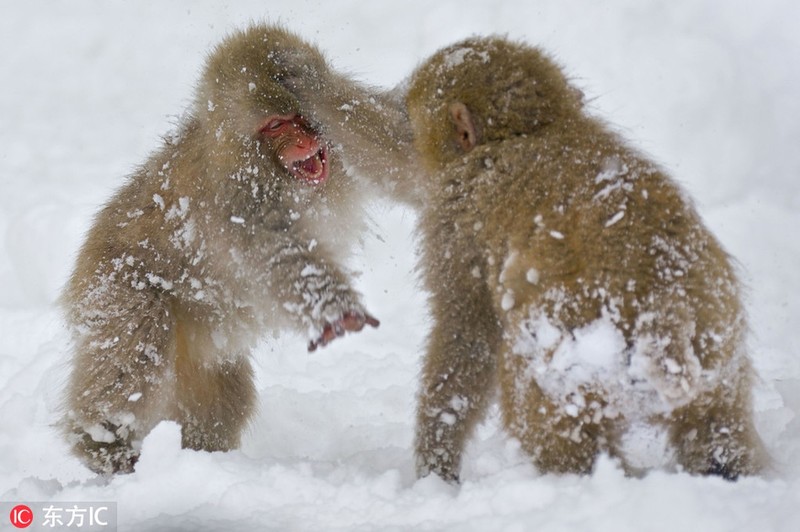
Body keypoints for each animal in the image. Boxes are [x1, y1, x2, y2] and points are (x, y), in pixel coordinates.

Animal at [59, 23, 378, 474]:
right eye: (276, 125)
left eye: (300, 116)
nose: (304, 140)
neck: (263, 164)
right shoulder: (238, 203)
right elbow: (277, 257)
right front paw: (336, 308)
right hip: (115, 287)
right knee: (136, 347)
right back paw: (102, 442)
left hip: (199, 344)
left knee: (220, 395)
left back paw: (198, 456)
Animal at [286, 37, 768, 482]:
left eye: (412, 115)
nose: (399, 103)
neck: (528, 132)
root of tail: (664, 302)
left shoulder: (457, 219)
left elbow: (467, 330)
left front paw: (436, 466)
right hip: (718, 345)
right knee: (717, 428)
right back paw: (726, 470)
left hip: (579, 357)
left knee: (537, 400)